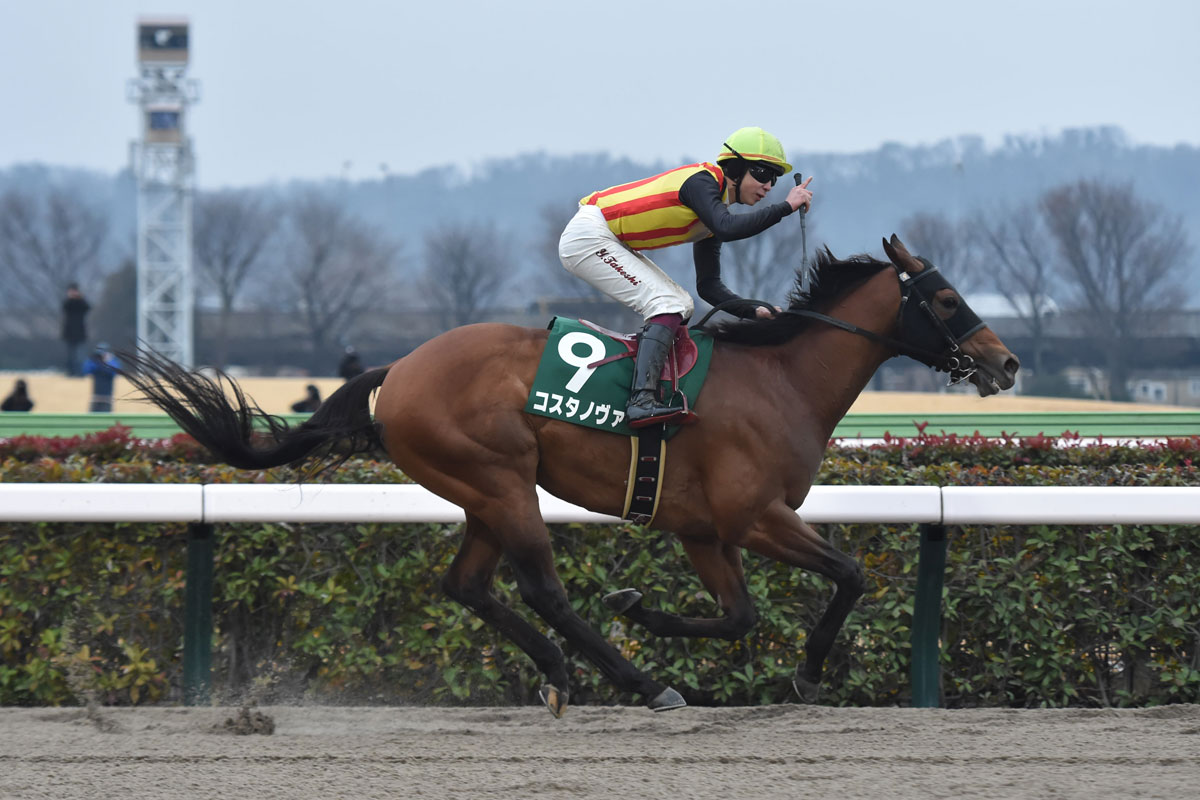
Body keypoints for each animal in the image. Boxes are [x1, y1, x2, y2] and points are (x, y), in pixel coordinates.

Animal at [121, 235, 1019, 717]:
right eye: (944, 298)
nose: (1006, 362)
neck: (781, 380)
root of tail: (400, 369)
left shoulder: (704, 531)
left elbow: (738, 616)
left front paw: (641, 607)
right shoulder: (754, 516)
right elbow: (851, 574)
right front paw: (803, 672)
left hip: (482, 493)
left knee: (469, 585)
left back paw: (560, 671)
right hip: (503, 481)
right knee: (540, 588)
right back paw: (636, 682)